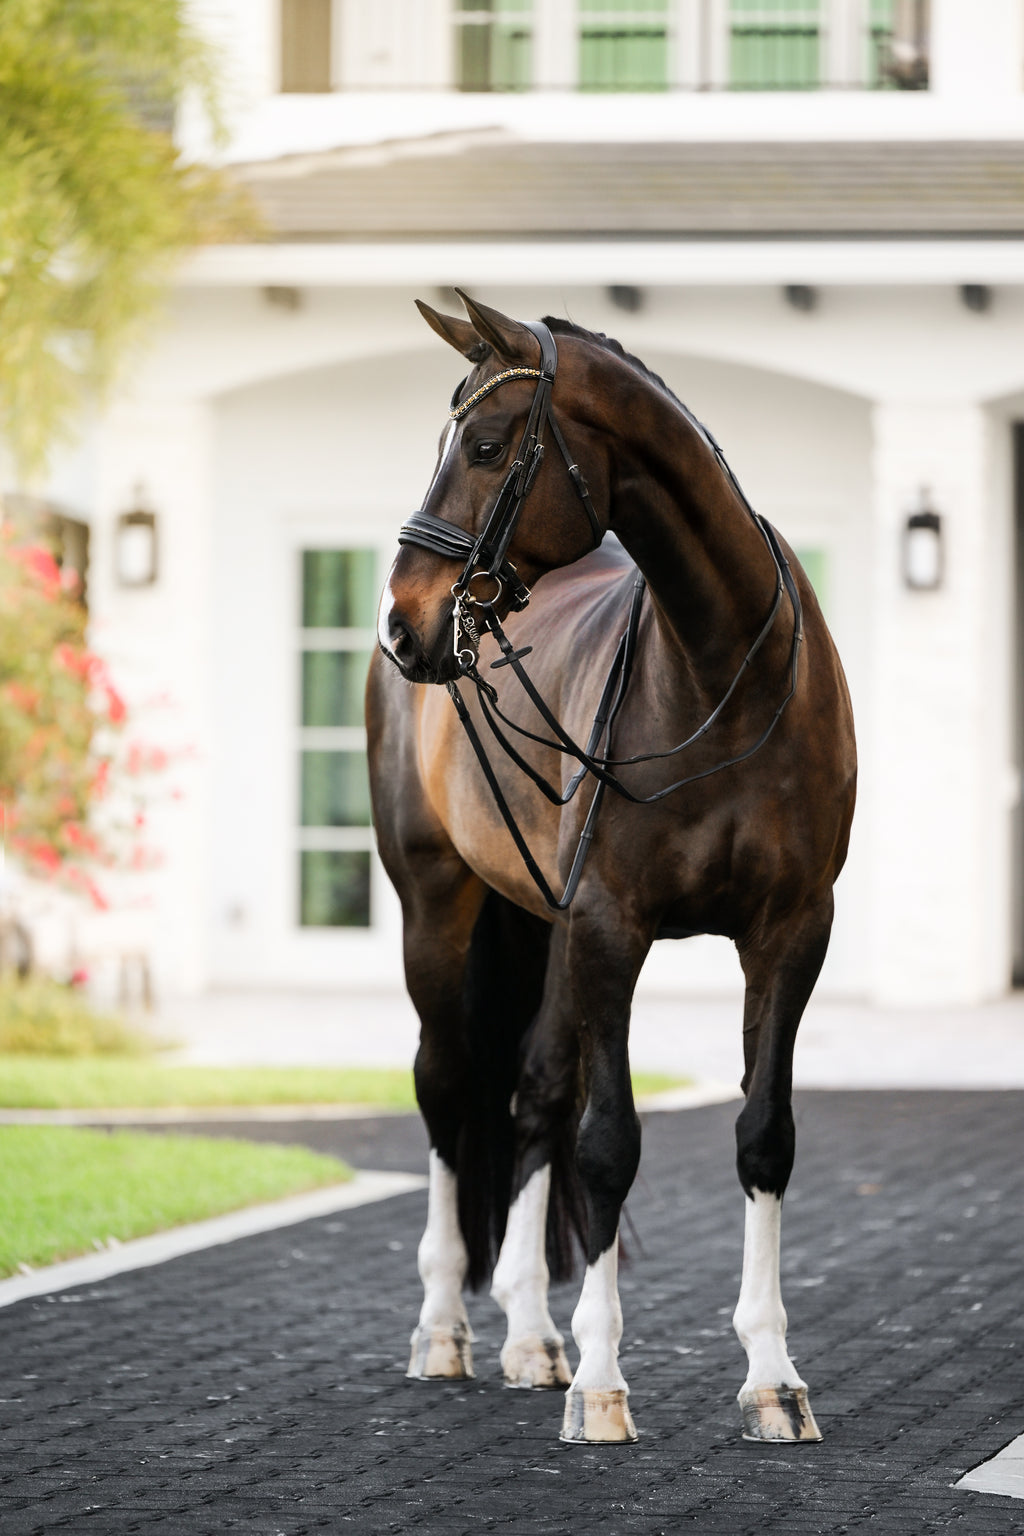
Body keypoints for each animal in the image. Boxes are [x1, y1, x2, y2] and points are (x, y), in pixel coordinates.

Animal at [367, 291, 856, 1445]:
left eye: (488, 447)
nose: (404, 621)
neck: (721, 671)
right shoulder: (609, 927)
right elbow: (609, 1146)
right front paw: (601, 1382)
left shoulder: (791, 932)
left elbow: (762, 1136)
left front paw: (773, 1376)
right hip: (436, 905)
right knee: (447, 1086)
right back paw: (446, 1327)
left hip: (539, 921)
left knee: (532, 1093)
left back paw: (530, 1335)